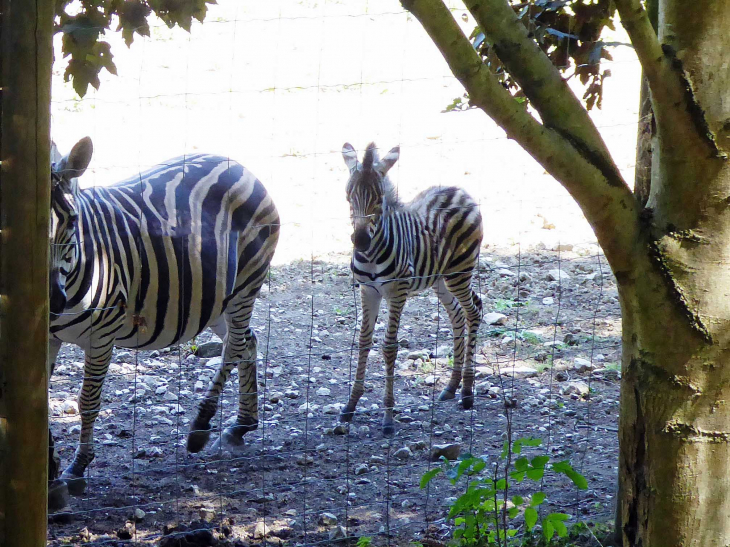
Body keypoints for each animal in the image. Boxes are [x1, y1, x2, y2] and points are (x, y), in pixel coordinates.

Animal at [46, 138, 278, 492]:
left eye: (72, 221)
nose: (52, 300)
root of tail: (237, 165)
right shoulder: (45, 337)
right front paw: (48, 466)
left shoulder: (102, 336)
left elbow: (88, 402)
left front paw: (77, 468)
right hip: (214, 298)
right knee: (246, 341)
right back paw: (241, 424)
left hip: (246, 282)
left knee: (236, 345)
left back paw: (201, 426)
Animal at [340, 143, 484, 434]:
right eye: (348, 197)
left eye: (379, 199)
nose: (360, 241)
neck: (371, 254)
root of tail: (460, 190)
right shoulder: (368, 291)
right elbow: (363, 341)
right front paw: (351, 405)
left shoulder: (397, 291)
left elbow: (389, 346)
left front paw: (388, 415)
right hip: (440, 279)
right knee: (457, 315)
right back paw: (451, 386)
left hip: (459, 272)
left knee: (473, 311)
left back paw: (466, 391)